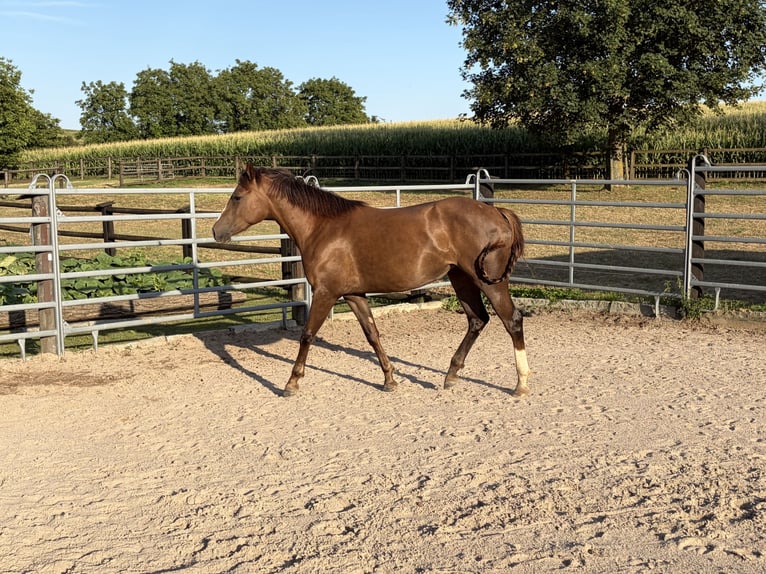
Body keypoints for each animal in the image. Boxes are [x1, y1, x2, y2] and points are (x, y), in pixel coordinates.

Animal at [212, 164, 530, 398]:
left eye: (237, 197)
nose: (217, 231)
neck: (322, 228)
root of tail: (497, 212)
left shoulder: (326, 293)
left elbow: (307, 335)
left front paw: (292, 383)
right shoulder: (354, 295)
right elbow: (372, 334)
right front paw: (390, 380)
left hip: (488, 282)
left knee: (511, 320)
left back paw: (521, 384)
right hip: (461, 278)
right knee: (477, 320)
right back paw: (450, 376)